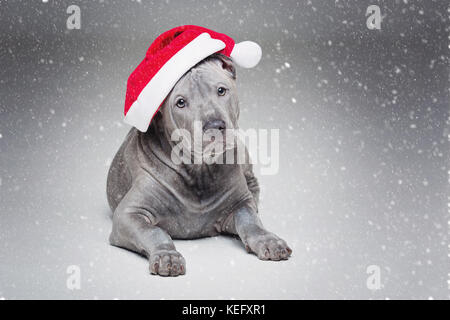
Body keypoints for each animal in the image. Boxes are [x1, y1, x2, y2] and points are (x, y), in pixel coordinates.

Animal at [107, 53, 294, 276]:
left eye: (221, 90)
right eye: (180, 102)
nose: (214, 126)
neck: (199, 171)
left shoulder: (240, 203)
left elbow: (250, 220)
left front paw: (268, 240)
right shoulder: (128, 214)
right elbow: (153, 231)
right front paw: (167, 255)